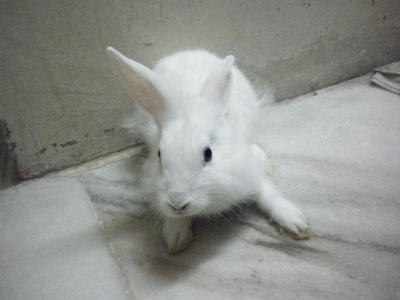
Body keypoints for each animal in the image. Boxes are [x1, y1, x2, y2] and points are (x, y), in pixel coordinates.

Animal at [106, 47, 310, 253]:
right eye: (159, 155)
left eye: (208, 153)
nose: (178, 203)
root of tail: (187, 51)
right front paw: (175, 237)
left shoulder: (248, 170)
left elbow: (266, 192)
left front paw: (294, 221)